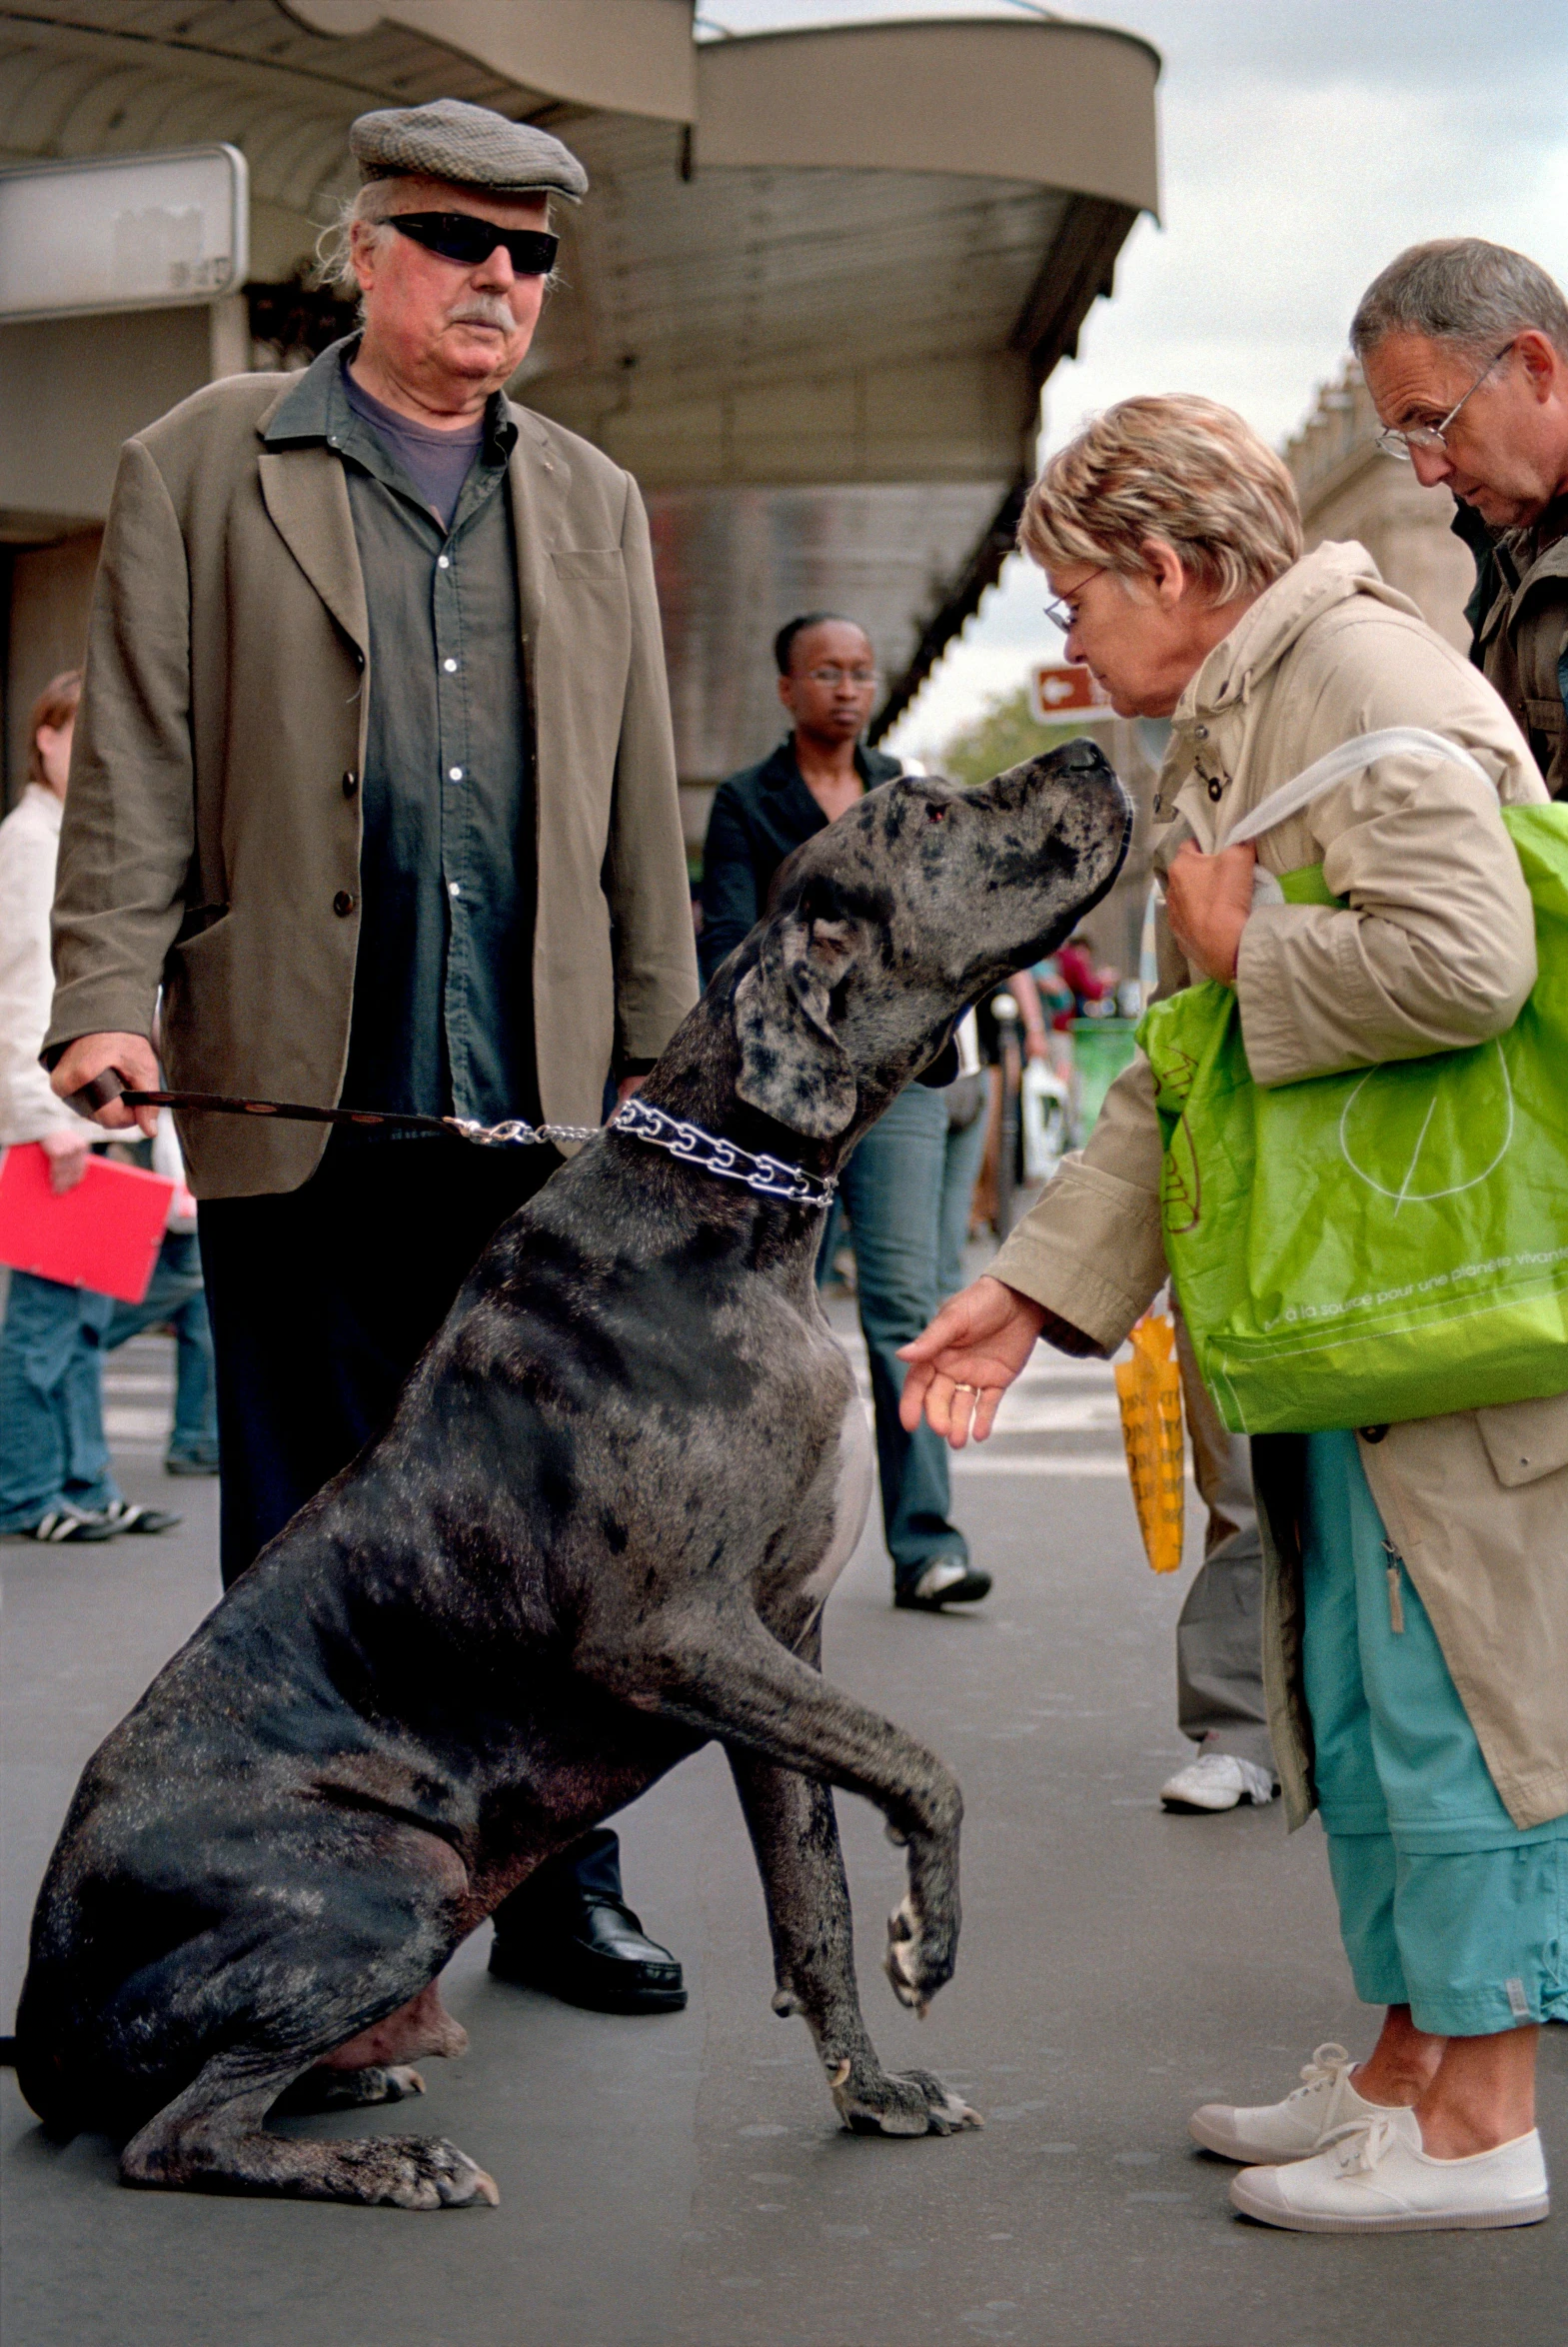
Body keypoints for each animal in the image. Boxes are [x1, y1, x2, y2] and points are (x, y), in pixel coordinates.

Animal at [12, 741, 1126, 2206]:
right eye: (933, 809)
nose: (1095, 749)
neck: (732, 1200)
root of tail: (33, 2025)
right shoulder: (675, 1637)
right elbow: (921, 1765)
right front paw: (928, 1937)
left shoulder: (777, 1646)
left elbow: (811, 1892)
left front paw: (870, 2088)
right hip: (399, 1872)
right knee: (170, 2134)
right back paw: (387, 2160)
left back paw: (356, 2080)